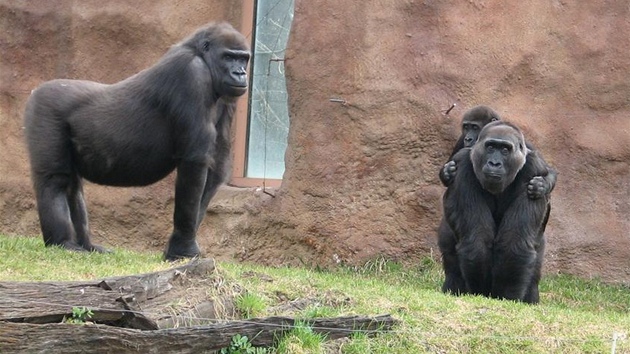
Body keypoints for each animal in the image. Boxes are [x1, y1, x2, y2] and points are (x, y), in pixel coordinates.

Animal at [24, 22, 252, 260]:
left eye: (243, 58)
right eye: (228, 57)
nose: (240, 73)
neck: (202, 56)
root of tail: (35, 91)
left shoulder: (227, 97)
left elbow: (215, 170)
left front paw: (176, 246)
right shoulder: (191, 75)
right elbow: (195, 164)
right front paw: (184, 248)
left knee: (72, 186)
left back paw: (87, 245)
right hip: (43, 109)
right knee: (55, 180)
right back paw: (62, 242)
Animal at [442, 121, 556, 304]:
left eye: (505, 150)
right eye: (490, 147)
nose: (494, 163)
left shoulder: (534, 169)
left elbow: (515, 241)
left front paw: (506, 296)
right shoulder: (463, 163)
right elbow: (477, 238)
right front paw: (480, 291)